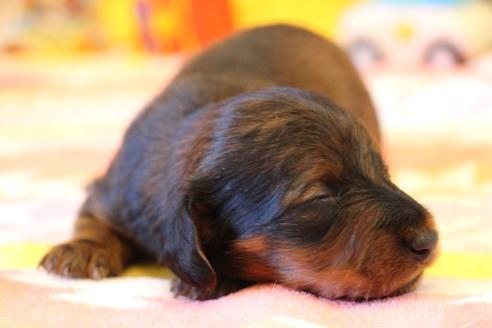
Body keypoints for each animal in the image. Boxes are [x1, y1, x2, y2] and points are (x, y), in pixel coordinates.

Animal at [39, 25, 438, 302]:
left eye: (383, 173)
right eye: (319, 200)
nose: (430, 239)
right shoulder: (115, 190)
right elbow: (94, 219)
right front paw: (83, 251)